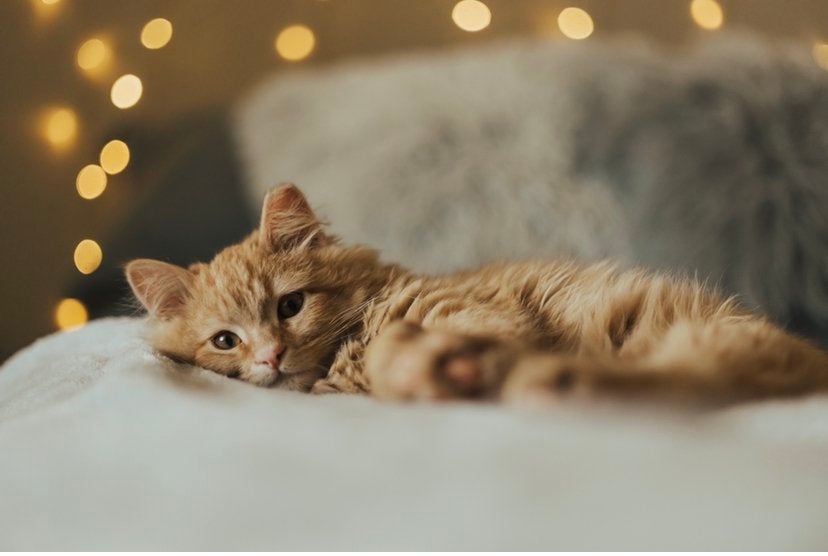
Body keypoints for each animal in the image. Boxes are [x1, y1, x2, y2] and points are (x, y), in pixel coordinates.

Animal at [124, 185, 828, 406]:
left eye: (290, 307)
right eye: (225, 341)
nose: (269, 356)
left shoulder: (475, 312)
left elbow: (412, 350)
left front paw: (434, 369)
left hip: (704, 338)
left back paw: (549, 382)